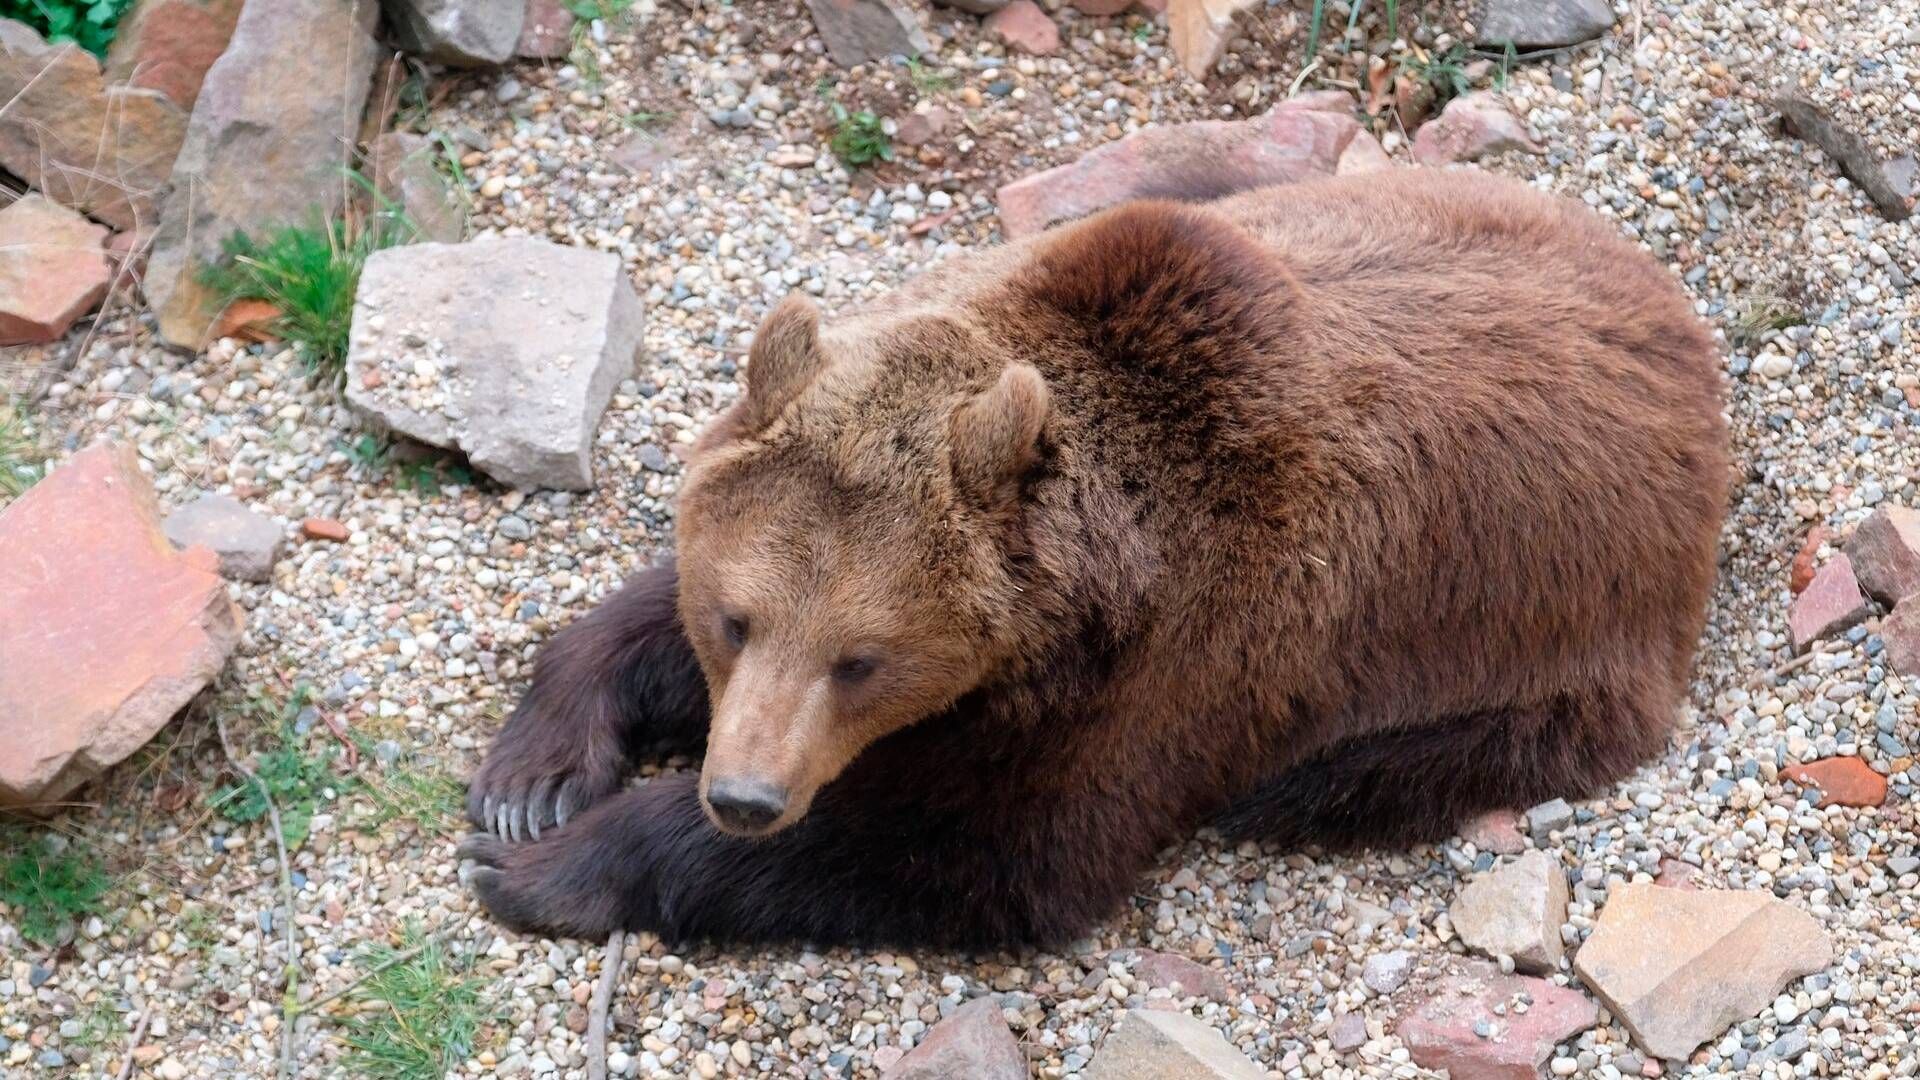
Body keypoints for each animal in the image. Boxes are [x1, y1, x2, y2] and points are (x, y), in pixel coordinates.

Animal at [456, 166, 1735, 941]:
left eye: (863, 660)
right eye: (737, 620)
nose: (745, 796)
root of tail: (1682, 326)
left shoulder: (1185, 663)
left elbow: (979, 849)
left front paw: (546, 866)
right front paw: (532, 781)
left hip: (1551, 627)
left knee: (1408, 759)